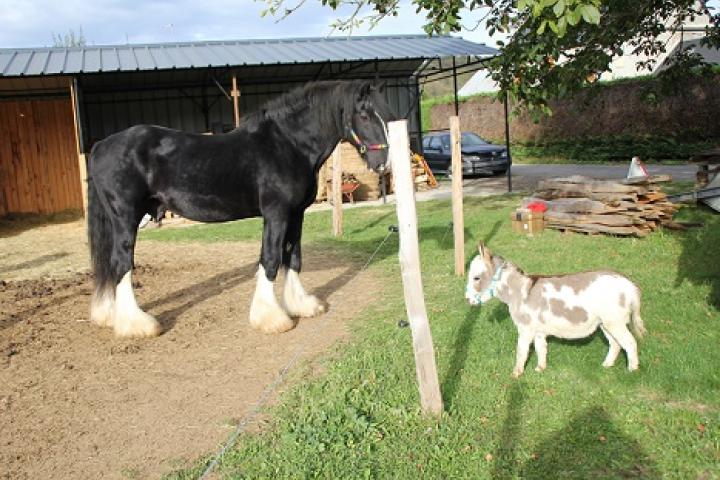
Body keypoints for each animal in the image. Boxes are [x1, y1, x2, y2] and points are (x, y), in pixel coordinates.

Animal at [89, 80, 394, 338]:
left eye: (384, 114)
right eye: (364, 116)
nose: (383, 163)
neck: (288, 145)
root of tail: (100, 146)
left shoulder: (296, 214)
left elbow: (293, 258)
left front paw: (302, 305)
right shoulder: (276, 214)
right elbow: (270, 260)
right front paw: (271, 319)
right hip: (126, 218)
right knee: (121, 264)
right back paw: (137, 325)